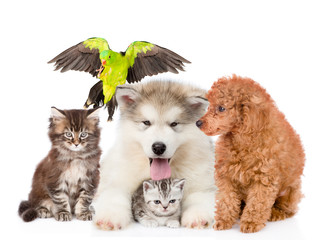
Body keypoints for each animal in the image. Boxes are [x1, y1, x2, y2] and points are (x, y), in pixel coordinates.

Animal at [93, 81, 217, 231]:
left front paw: (197, 217)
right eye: (146, 122)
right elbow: (114, 196)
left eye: (174, 124)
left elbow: (199, 197)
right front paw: (109, 217)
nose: (158, 147)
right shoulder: (117, 179)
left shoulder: (204, 184)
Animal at [197, 75, 306, 232]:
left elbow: (257, 203)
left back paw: (275, 213)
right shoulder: (226, 175)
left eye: (221, 108)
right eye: (209, 106)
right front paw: (224, 220)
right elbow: (226, 200)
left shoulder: (264, 178)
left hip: (290, 192)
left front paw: (251, 223)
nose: (198, 123)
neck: (242, 139)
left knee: (288, 209)